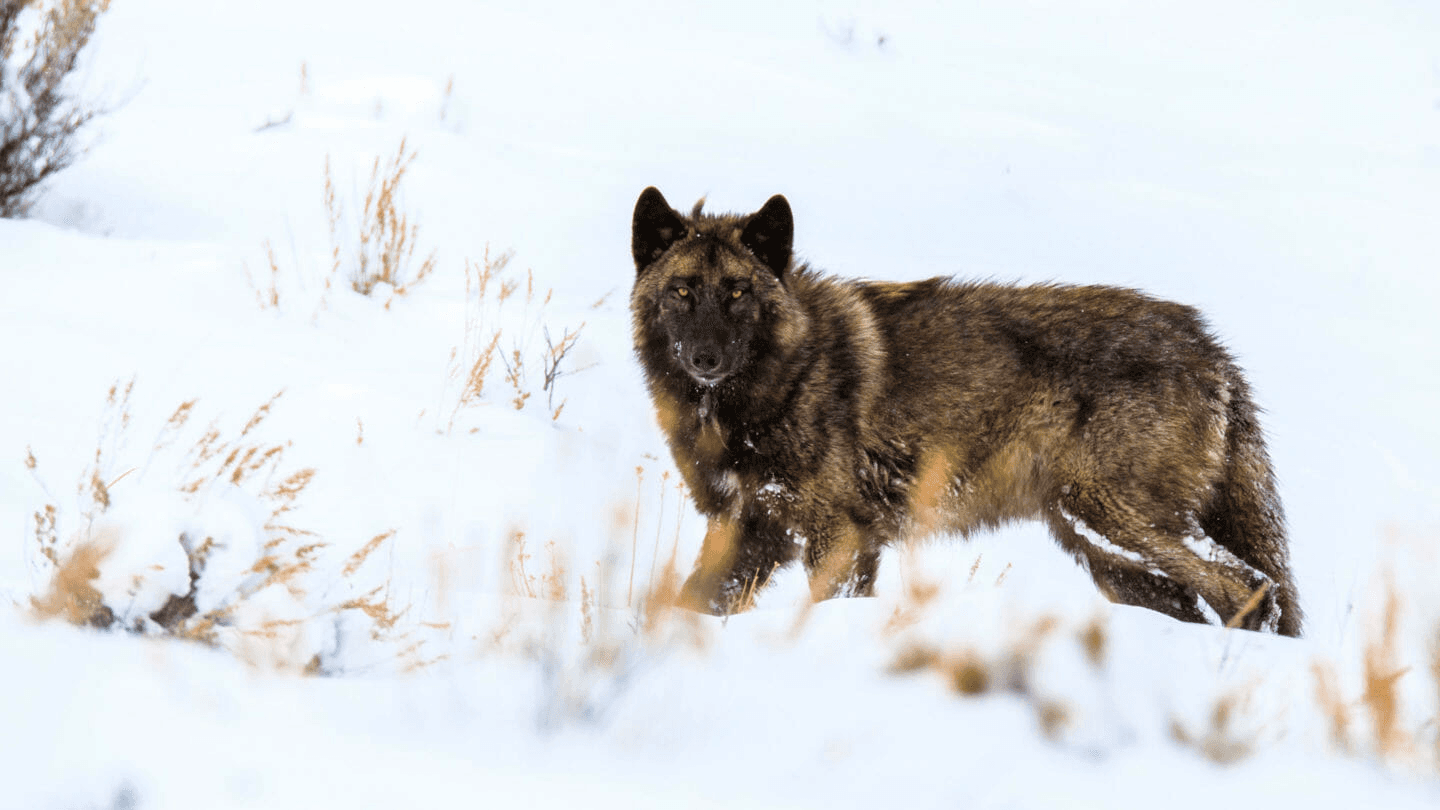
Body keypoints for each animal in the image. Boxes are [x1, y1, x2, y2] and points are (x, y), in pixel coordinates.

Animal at [629, 187, 1301, 636]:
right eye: (681, 292)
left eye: (738, 293)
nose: (706, 358)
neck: (778, 385)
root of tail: (1210, 347)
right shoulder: (746, 529)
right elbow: (689, 604)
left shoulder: (838, 536)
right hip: (1105, 552)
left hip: (1111, 519)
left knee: (1247, 585)